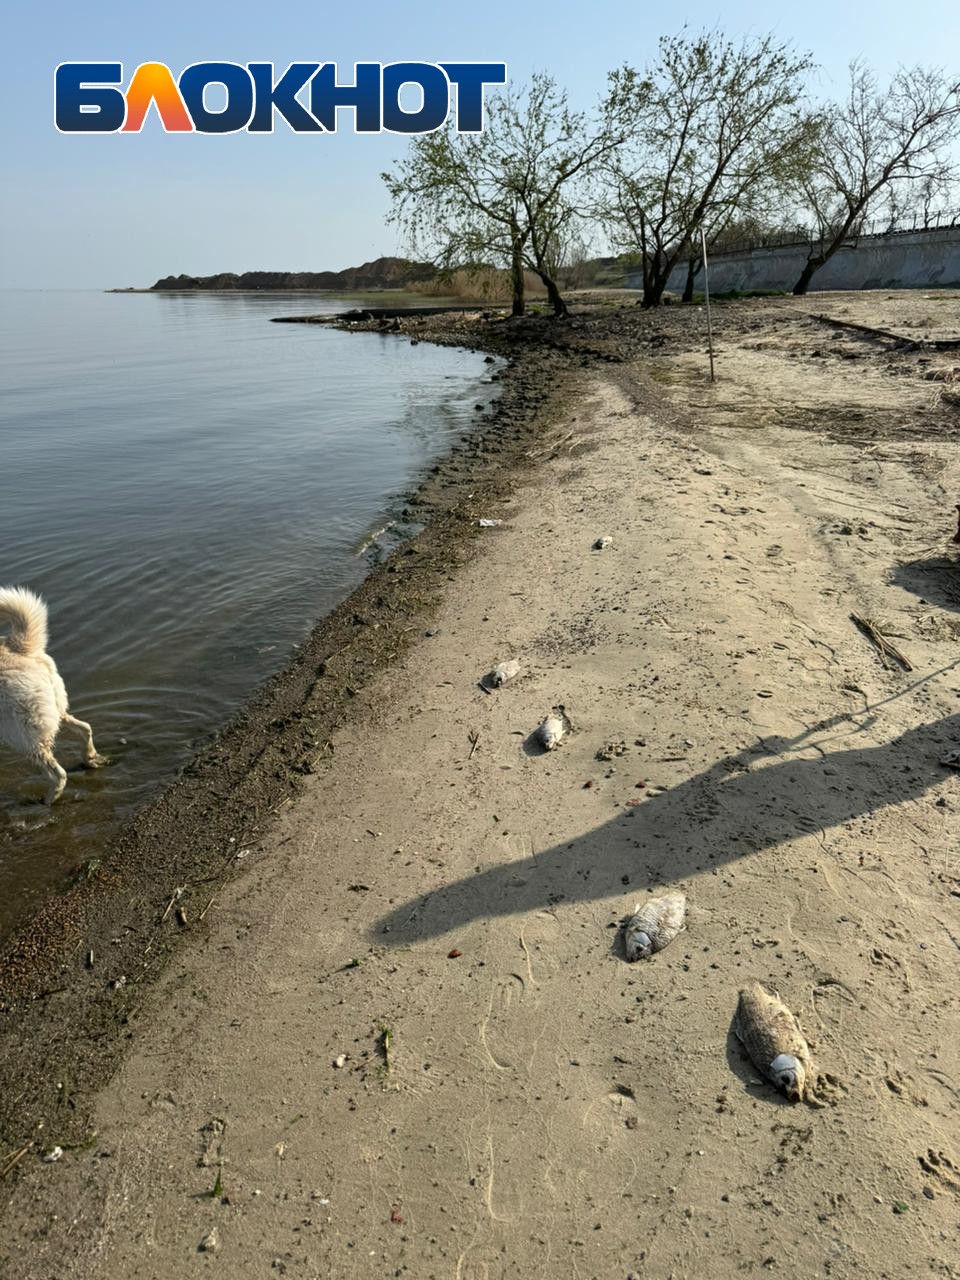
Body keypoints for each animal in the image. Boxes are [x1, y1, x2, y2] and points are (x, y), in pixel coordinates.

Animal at [0, 586, 105, 803]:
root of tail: (17, 648)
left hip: (22, 735)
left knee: (58, 774)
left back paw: (47, 800)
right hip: (54, 710)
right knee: (84, 728)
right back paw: (89, 758)